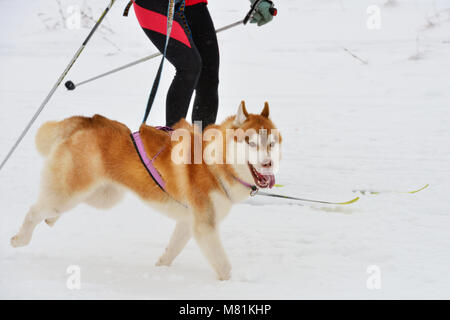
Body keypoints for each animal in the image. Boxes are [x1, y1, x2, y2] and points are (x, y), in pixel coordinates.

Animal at [11, 101, 282, 278]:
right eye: (250, 142)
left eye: (270, 143)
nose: (268, 164)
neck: (215, 162)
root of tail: (85, 121)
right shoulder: (205, 225)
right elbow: (223, 265)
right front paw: (230, 284)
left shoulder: (190, 221)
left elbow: (172, 248)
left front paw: (160, 268)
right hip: (71, 192)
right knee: (34, 210)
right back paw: (20, 238)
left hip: (103, 196)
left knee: (51, 208)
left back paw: (50, 220)